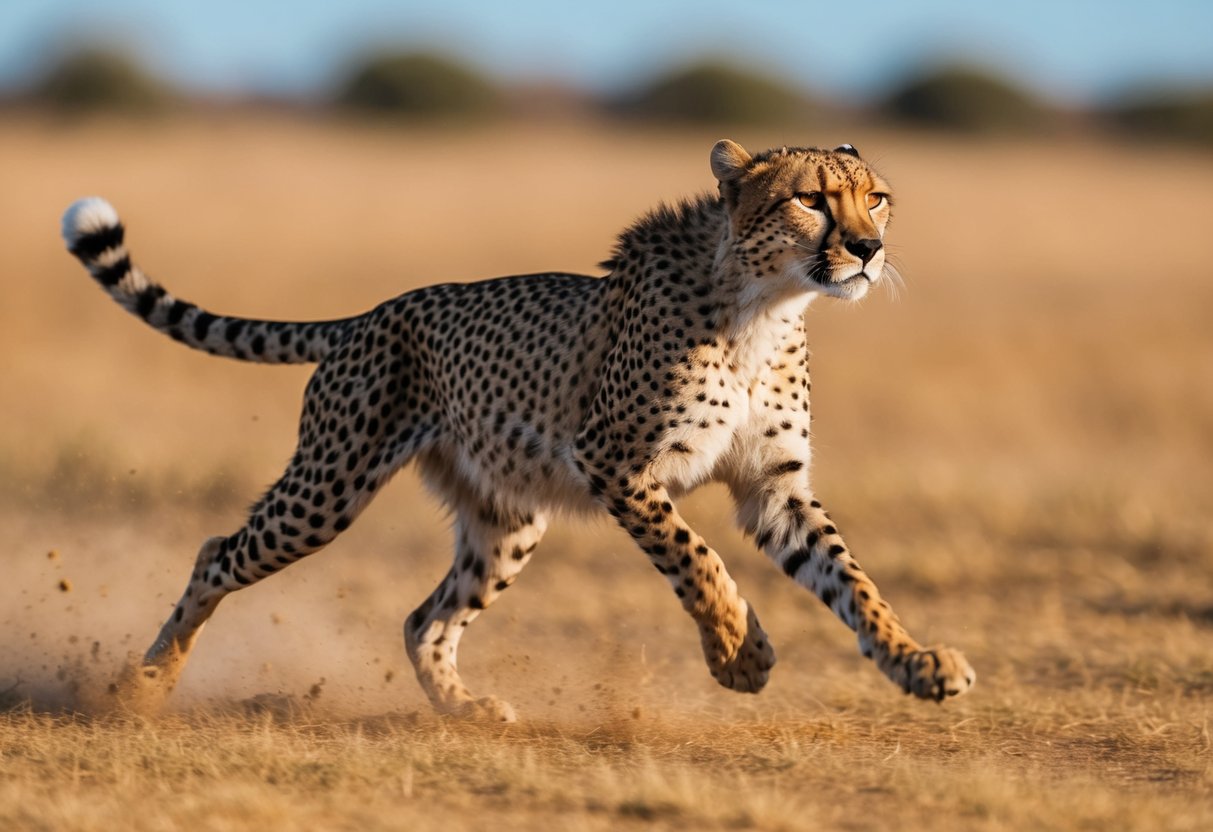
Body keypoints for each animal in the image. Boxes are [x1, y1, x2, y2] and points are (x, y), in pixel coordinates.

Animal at [61, 139, 975, 721]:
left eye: (875, 196)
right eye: (810, 199)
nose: (867, 248)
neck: (764, 304)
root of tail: (371, 312)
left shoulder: (772, 488)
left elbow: (851, 580)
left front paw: (917, 662)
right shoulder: (615, 463)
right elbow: (698, 559)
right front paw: (737, 654)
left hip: (508, 520)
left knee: (422, 620)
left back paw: (464, 709)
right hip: (328, 488)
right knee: (218, 553)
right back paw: (141, 687)